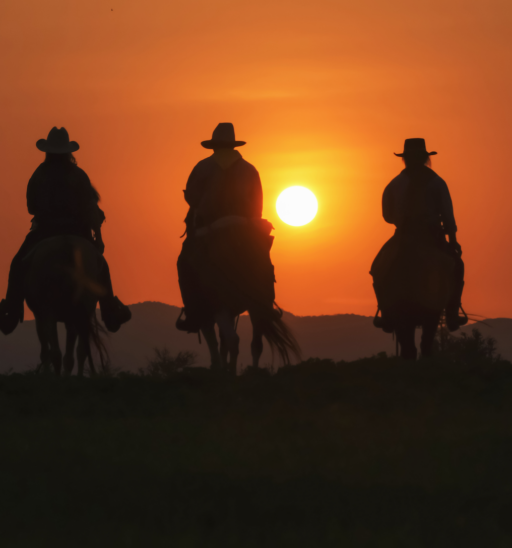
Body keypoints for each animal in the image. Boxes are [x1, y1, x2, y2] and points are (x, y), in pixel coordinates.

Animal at [25, 235, 108, 376]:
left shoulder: (41, 315)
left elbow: (46, 351)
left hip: (49, 311)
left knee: (56, 353)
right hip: (84, 309)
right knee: (80, 350)